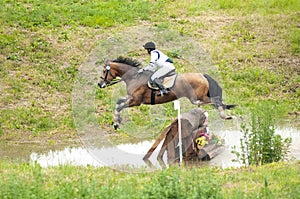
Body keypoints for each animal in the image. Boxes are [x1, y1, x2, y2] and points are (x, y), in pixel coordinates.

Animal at [97, 56, 236, 130]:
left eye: (104, 71)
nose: (99, 84)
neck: (134, 77)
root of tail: (202, 75)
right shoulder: (130, 97)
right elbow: (118, 102)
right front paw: (117, 121)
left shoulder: (136, 101)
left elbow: (119, 107)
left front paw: (116, 123)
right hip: (198, 97)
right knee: (212, 101)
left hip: (198, 97)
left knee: (215, 100)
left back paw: (226, 116)